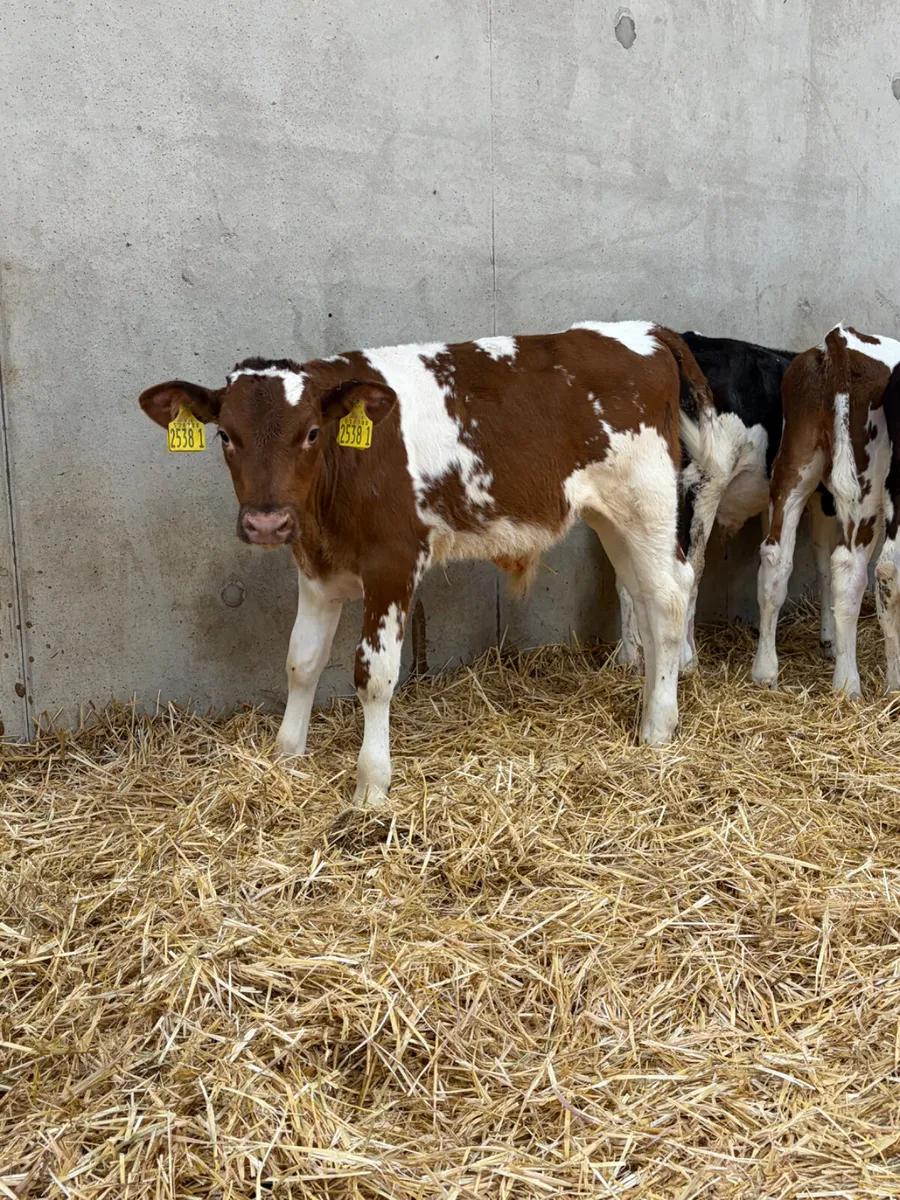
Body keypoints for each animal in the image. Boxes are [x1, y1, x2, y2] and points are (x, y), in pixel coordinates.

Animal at [139, 322, 713, 805]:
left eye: (311, 433)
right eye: (224, 435)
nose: (266, 523)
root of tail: (644, 330)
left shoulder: (394, 562)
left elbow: (374, 674)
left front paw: (371, 785)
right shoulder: (317, 569)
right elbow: (300, 661)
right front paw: (287, 756)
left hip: (647, 502)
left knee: (669, 599)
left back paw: (658, 729)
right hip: (610, 517)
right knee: (644, 598)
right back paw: (649, 705)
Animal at [616, 333, 838, 673]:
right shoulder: (821, 496)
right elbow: (817, 562)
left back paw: (631, 657)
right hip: (704, 483)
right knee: (689, 568)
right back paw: (685, 658)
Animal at [751, 323, 900, 695]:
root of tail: (839, 341)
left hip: (795, 467)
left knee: (776, 558)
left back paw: (765, 672)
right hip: (867, 486)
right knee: (857, 568)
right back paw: (850, 684)